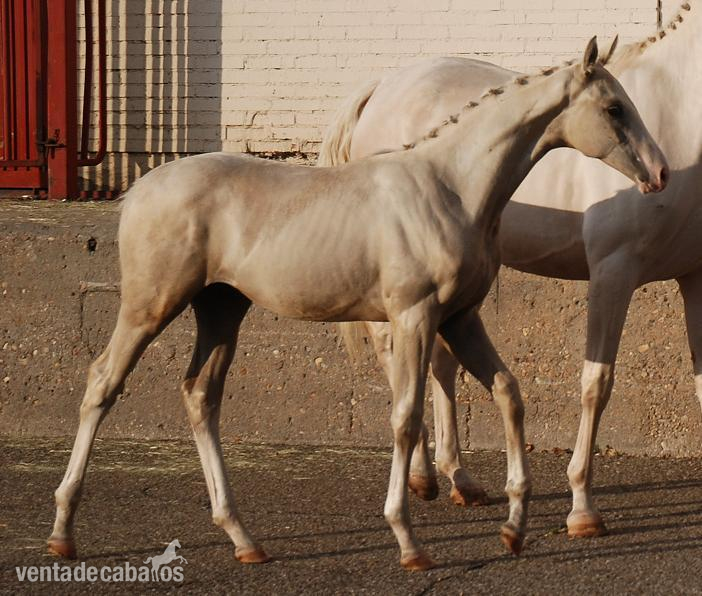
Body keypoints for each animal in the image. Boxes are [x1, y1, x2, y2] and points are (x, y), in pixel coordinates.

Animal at [46, 38, 667, 571]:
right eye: (614, 108)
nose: (659, 173)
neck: (450, 186)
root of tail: (137, 191)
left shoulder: (460, 319)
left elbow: (508, 394)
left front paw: (513, 527)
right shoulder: (414, 317)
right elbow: (406, 418)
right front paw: (409, 541)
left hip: (221, 309)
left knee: (200, 396)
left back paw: (245, 538)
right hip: (151, 305)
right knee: (102, 383)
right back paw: (63, 532)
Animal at [321, 2, 698, 539]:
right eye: (614, 109)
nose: (658, 172)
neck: (681, 112)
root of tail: (381, 87)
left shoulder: (695, 278)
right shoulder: (614, 271)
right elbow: (596, 384)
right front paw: (582, 507)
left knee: (439, 364)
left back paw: (459, 480)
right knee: (399, 359)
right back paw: (421, 476)